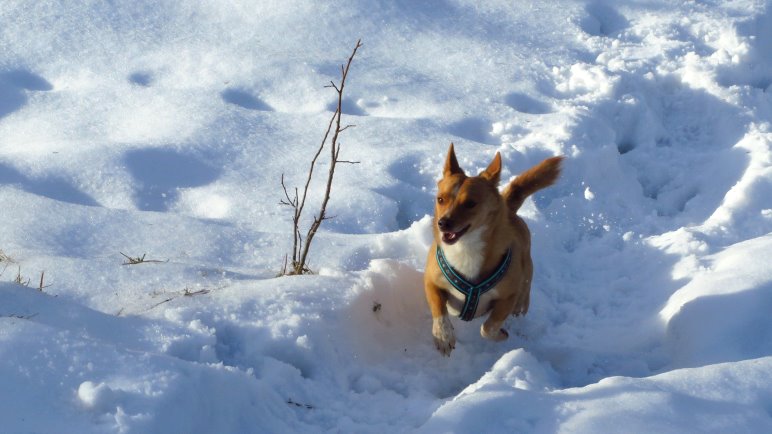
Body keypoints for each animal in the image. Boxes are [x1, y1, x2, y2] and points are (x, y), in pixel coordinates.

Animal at [426, 144, 564, 354]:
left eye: (470, 203)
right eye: (440, 199)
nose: (443, 223)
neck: (466, 248)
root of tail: (507, 206)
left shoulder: (509, 296)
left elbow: (488, 327)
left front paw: (500, 334)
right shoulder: (430, 281)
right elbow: (438, 308)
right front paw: (443, 335)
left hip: (523, 295)